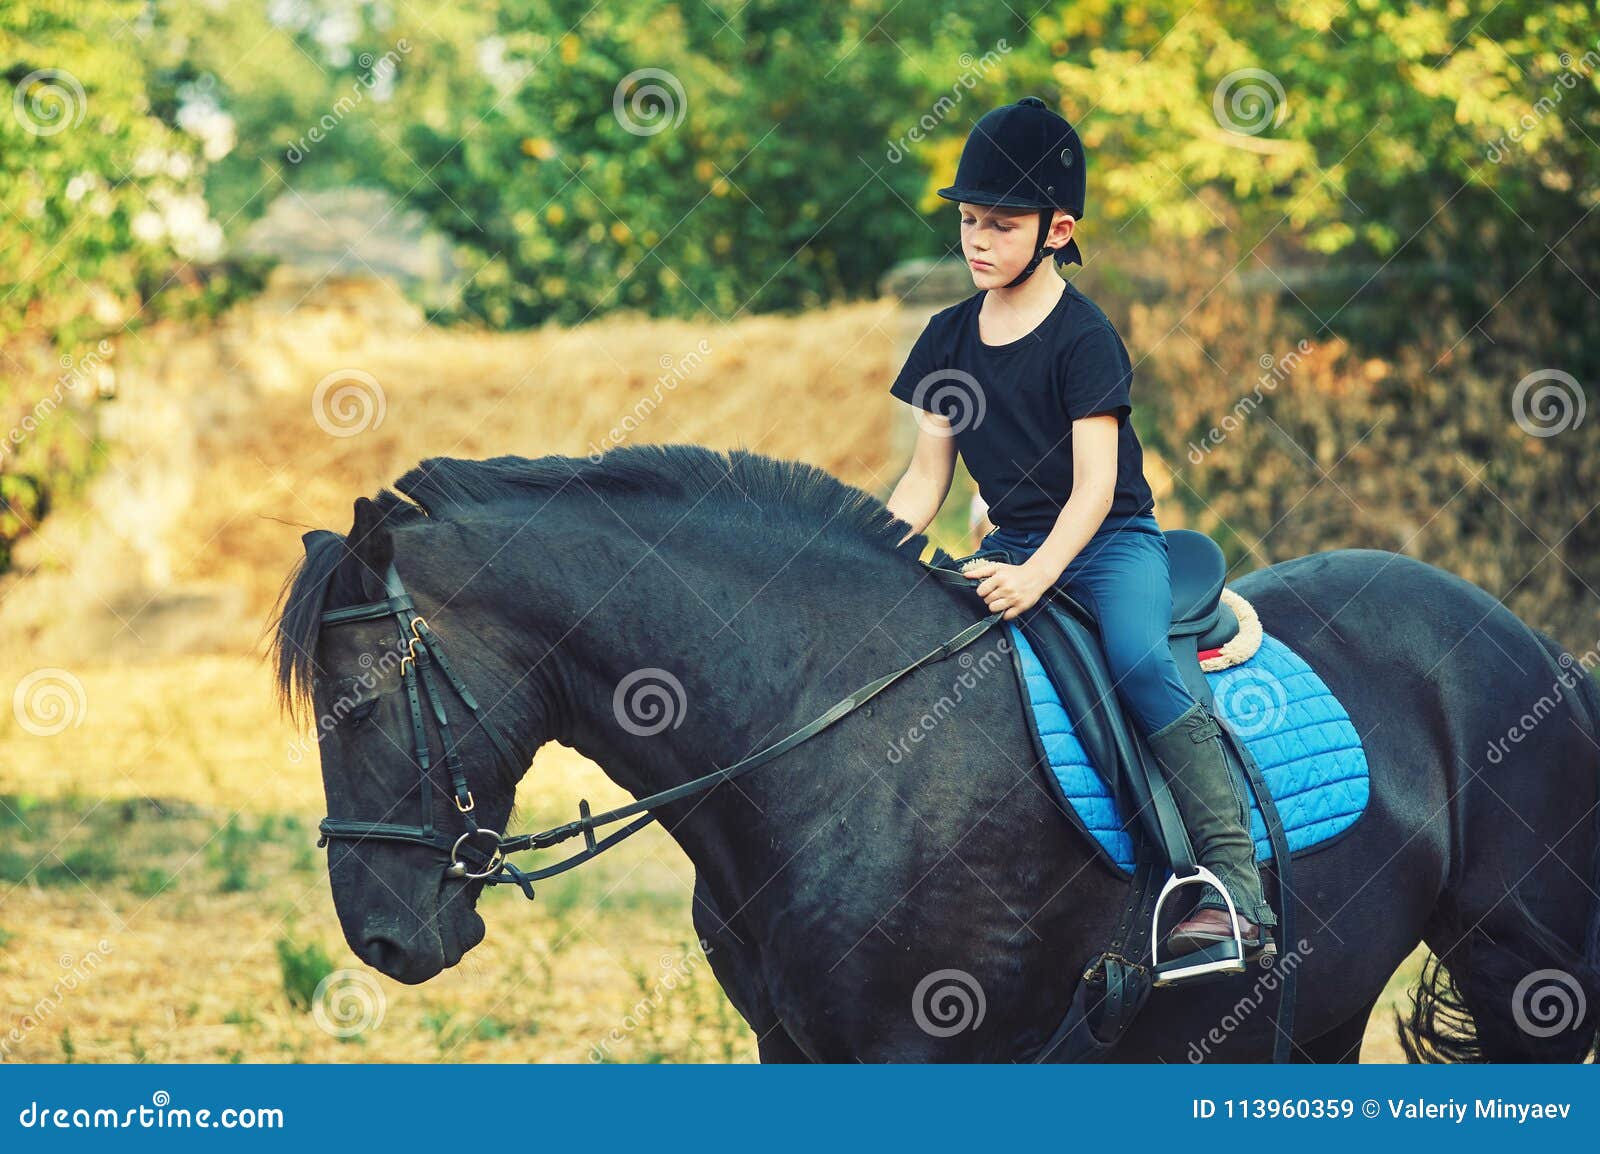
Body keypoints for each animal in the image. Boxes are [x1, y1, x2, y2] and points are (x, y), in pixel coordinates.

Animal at [270, 444, 1600, 1062]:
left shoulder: (916, 1042)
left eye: (365, 696)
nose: (380, 938)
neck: (816, 730)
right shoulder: (791, 1044)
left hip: (1528, 975)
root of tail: (1530, 642)